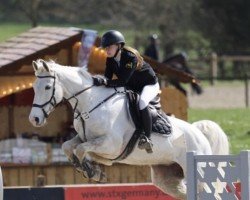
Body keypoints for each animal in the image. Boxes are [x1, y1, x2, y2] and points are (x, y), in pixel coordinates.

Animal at [28, 59, 229, 200]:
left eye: (47, 87)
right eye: (34, 87)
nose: (34, 119)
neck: (90, 103)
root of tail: (199, 133)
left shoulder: (111, 145)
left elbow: (81, 149)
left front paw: (93, 170)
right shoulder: (85, 138)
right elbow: (69, 146)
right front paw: (91, 169)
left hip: (199, 173)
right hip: (167, 179)